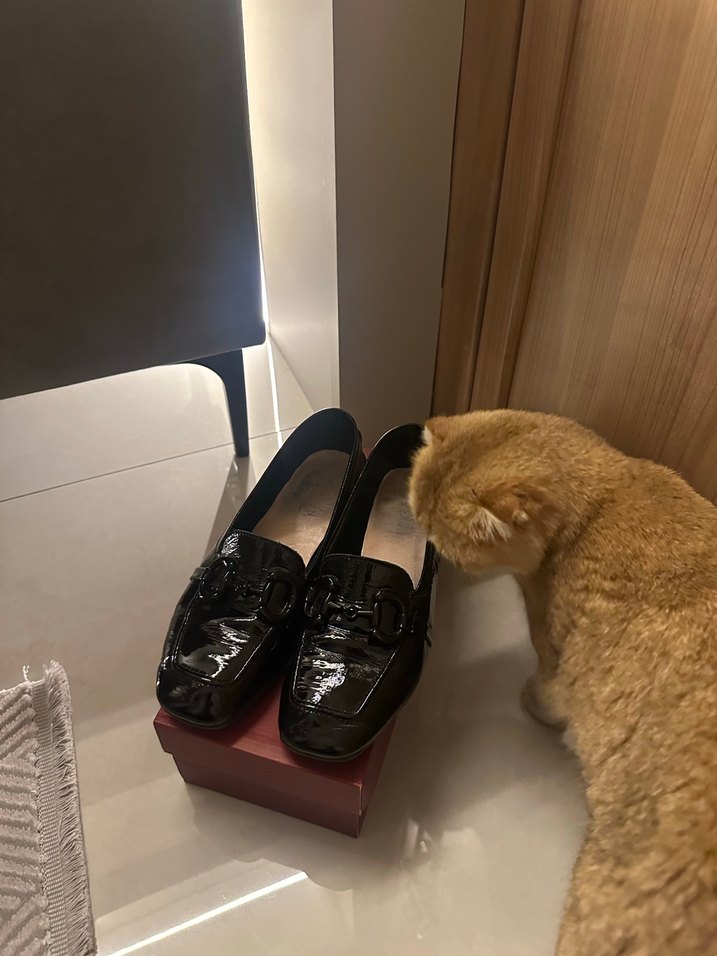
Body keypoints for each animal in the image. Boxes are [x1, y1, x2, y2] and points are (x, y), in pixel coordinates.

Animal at [408, 409, 717, 956]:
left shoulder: (555, 651)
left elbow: (548, 690)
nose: (425, 547)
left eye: (443, 542)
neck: (606, 495)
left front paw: (534, 706)